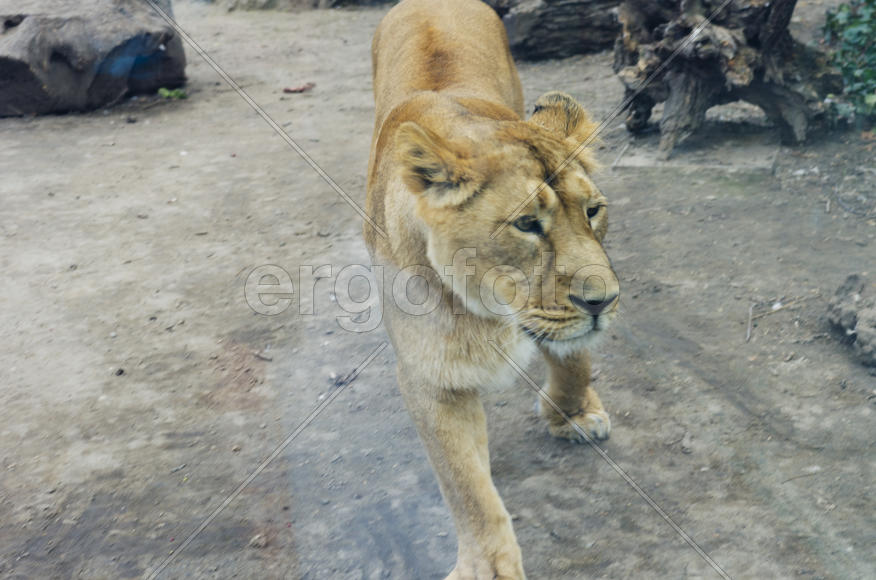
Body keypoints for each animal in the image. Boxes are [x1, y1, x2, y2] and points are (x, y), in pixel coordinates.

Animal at [364, 0, 620, 578]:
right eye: (526, 224)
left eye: (593, 210)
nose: (604, 302)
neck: (487, 305)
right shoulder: (430, 378)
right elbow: (467, 488)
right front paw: (487, 566)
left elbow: (575, 357)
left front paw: (573, 414)